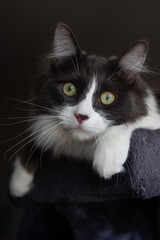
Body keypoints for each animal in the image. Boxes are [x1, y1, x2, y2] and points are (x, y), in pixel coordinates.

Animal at [9, 22, 160, 197]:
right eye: (69, 89)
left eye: (107, 97)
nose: (81, 116)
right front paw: (18, 182)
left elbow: (130, 121)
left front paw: (108, 160)